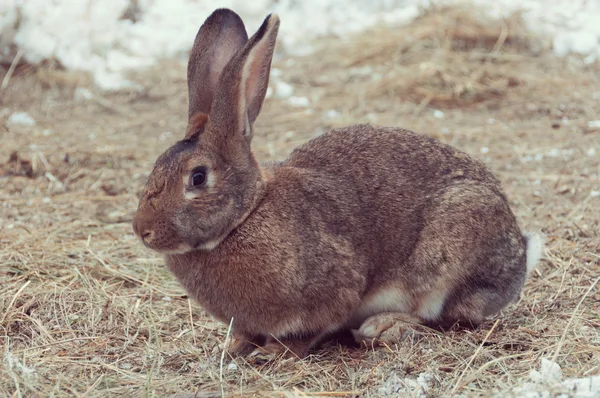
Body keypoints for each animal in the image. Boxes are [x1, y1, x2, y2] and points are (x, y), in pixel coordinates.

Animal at [131, 8, 544, 358]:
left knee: (448, 317)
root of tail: (519, 255)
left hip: (451, 254)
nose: (141, 230)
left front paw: (275, 352)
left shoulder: (336, 288)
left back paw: (384, 327)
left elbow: (314, 328)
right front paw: (232, 347)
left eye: (198, 177)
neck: (246, 215)